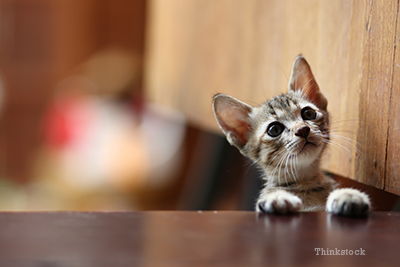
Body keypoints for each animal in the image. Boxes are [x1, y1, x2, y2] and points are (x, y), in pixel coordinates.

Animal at [214, 55, 370, 217]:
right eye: (274, 129)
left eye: (308, 113)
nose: (303, 130)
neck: (305, 181)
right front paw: (277, 197)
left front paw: (347, 195)